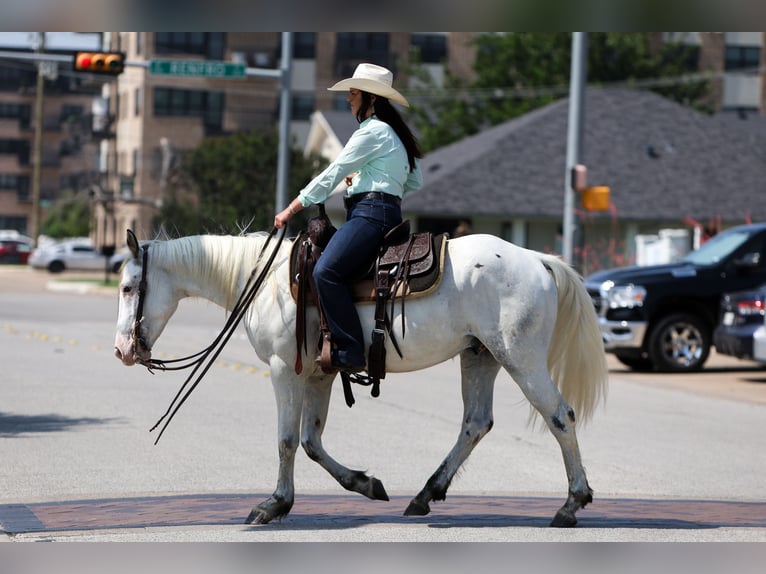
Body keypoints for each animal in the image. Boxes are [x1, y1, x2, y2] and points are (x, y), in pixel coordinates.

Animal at [114, 230, 608, 528]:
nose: (122, 350)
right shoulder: (319, 375)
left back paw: (571, 504)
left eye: (127, 287)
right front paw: (365, 485)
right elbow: (311, 442)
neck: (266, 283)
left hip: (520, 358)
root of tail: (539, 260)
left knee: (560, 416)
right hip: (480, 356)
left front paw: (273, 504)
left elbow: (286, 441)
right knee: (475, 423)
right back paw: (425, 495)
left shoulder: (283, 369)